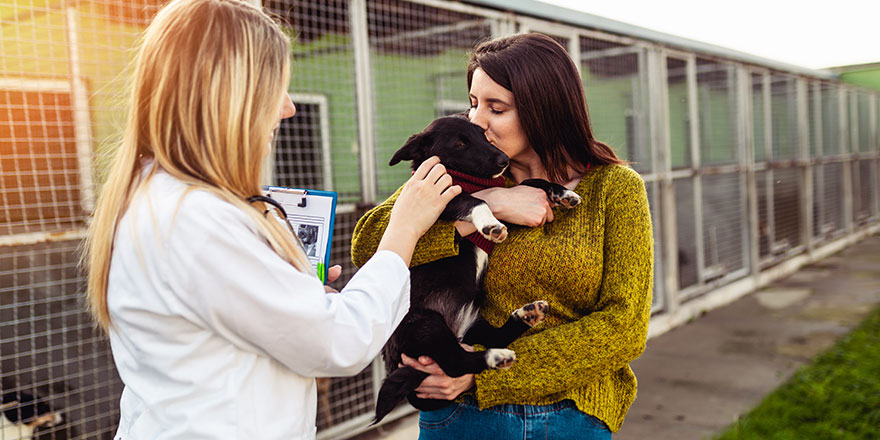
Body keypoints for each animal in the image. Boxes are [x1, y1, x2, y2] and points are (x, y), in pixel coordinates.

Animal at [372, 113, 584, 422]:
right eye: (460, 143)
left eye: (483, 135)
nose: (504, 160)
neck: (470, 179)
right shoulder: (442, 200)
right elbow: (478, 200)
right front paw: (490, 224)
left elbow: (531, 181)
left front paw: (562, 192)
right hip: (424, 324)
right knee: (455, 363)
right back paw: (495, 356)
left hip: (473, 321)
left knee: (494, 336)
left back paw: (526, 315)